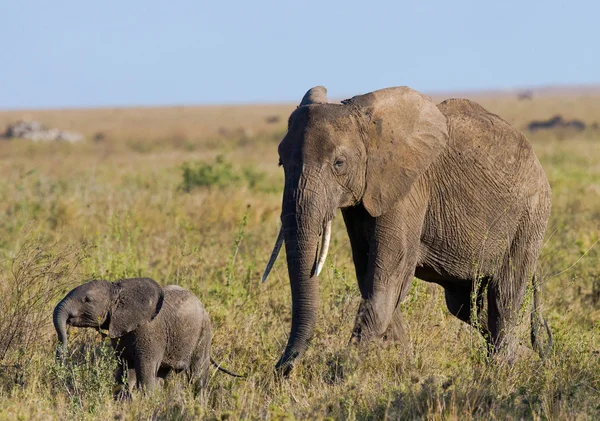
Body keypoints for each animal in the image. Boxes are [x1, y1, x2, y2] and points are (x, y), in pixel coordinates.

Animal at [53, 278, 241, 392]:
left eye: (87, 300)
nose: (61, 355)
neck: (118, 290)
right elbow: (124, 372)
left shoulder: (149, 332)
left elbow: (145, 371)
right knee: (162, 375)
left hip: (203, 332)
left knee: (197, 375)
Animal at [264, 85, 552, 374]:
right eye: (280, 162)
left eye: (339, 163)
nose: (282, 370)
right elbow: (369, 276)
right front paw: (404, 363)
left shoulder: (408, 189)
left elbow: (388, 279)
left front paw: (340, 374)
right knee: (466, 305)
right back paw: (524, 357)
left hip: (530, 215)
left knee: (504, 297)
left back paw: (502, 367)